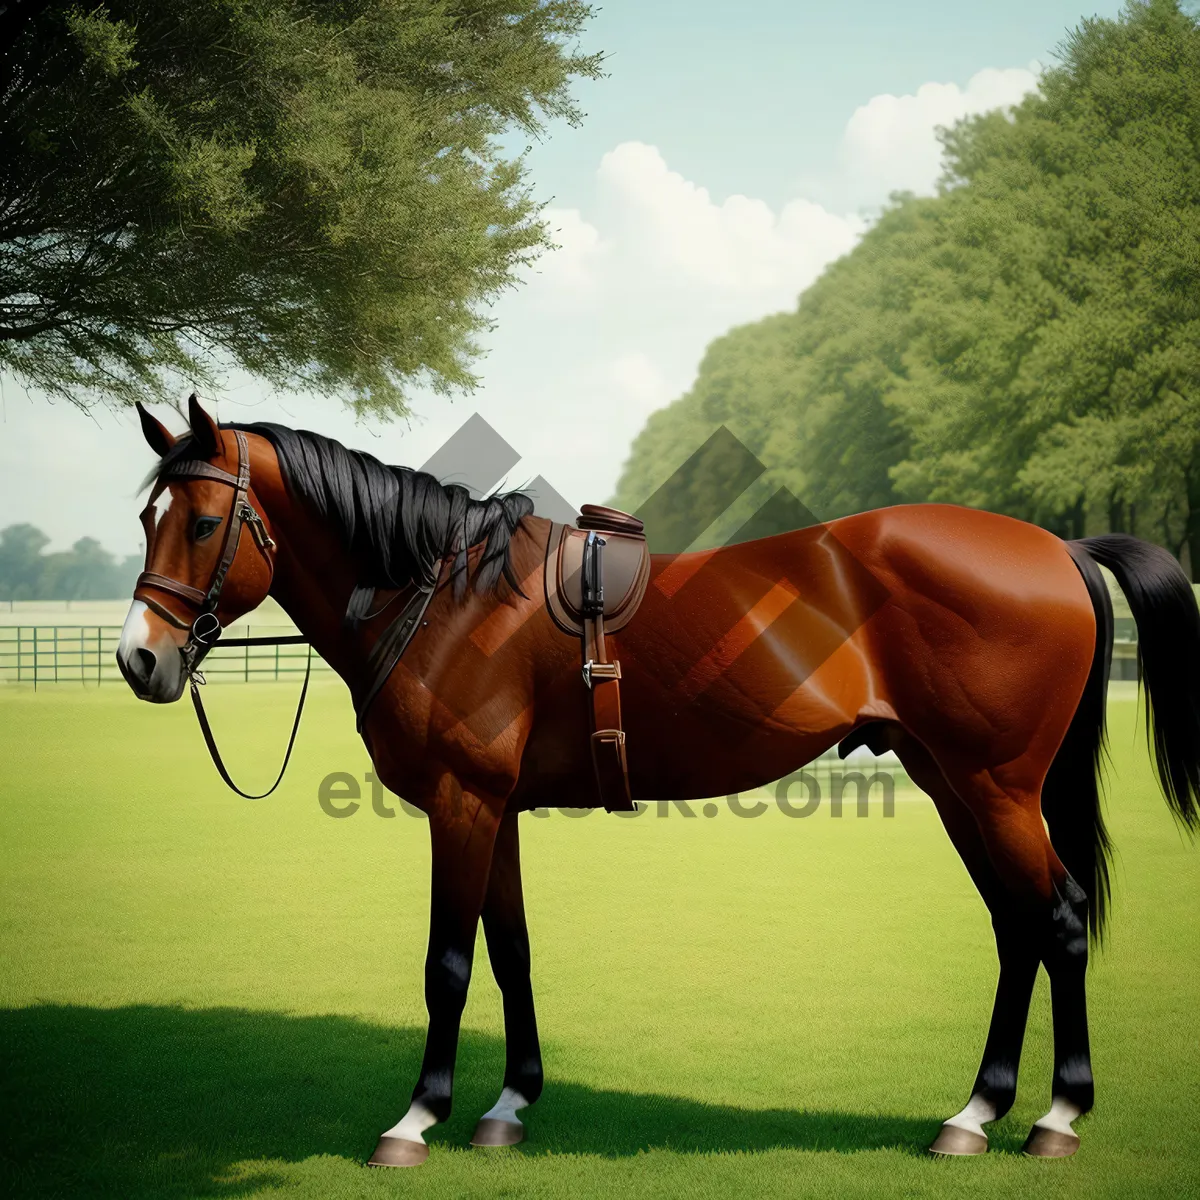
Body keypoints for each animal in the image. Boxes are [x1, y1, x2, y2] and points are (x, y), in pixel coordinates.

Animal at [119, 398, 1200, 1166]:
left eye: (204, 521)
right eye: (145, 516)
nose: (140, 660)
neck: (447, 596)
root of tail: (1057, 544)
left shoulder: (462, 804)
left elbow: (449, 964)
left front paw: (417, 1120)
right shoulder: (495, 809)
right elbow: (511, 952)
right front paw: (510, 1103)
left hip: (995, 786)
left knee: (1057, 918)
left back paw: (1055, 1113)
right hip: (954, 784)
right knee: (1017, 928)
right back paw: (976, 1111)